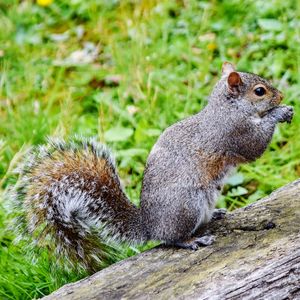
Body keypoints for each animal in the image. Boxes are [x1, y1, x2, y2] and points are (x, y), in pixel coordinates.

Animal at [10, 62, 294, 270]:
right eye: (260, 91)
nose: (281, 95)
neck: (226, 108)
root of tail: (150, 225)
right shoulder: (235, 133)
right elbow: (255, 146)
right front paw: (280, 112)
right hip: (187, 206)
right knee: (172, 238)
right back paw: (193, 240)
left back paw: (215, 215)